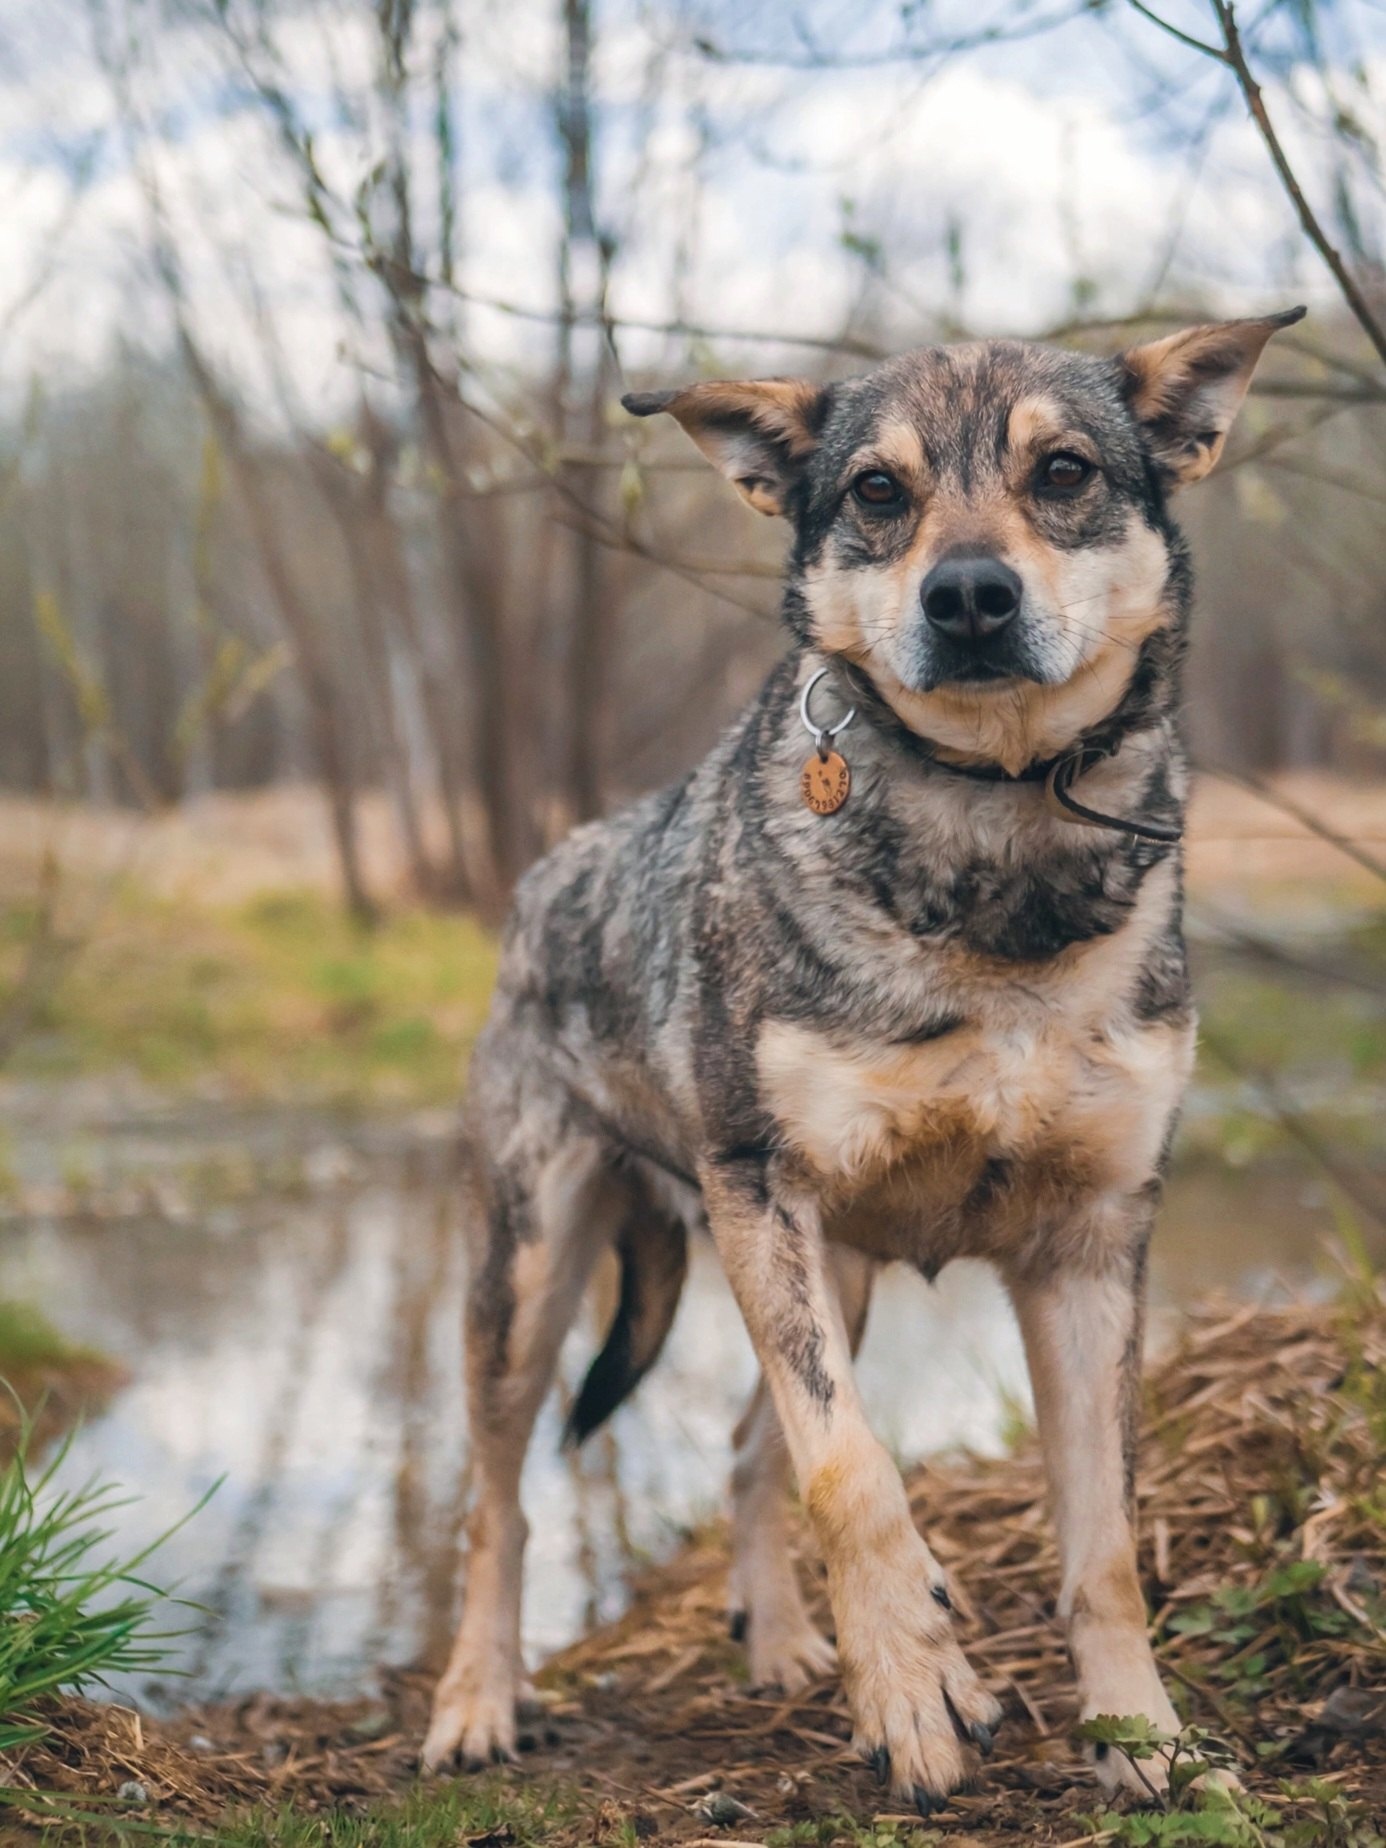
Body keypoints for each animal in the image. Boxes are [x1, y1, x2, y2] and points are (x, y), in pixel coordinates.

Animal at [423, 310, 1300, 1811]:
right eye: (878, 492)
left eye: (1063, 473)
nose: (969, 597)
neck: (995, 842)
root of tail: (541, 883)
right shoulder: (762, 1187)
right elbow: (855, 1471)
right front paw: (914, 1690)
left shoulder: (1093, 1243)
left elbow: (1104, 1542)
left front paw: (1146, 1741)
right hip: (535, 1279)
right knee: (502, 1506)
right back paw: (478, 1703)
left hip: (832, 1273)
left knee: (738, 1457)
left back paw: (782, 1647)